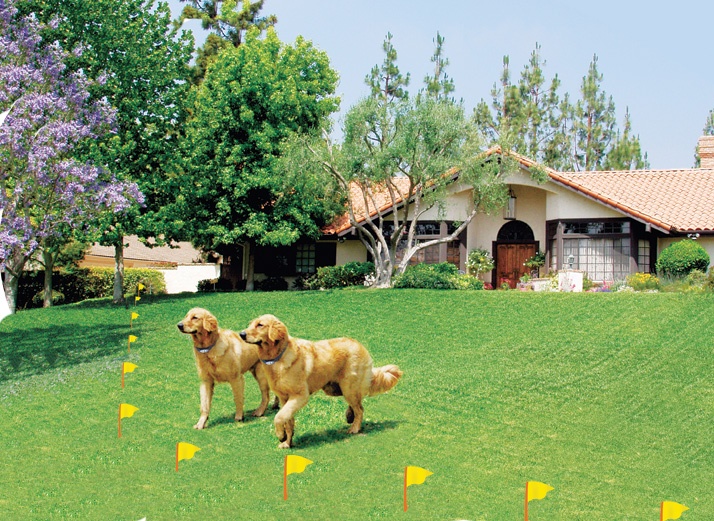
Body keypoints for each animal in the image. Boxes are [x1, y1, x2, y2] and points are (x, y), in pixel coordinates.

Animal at [241, 312, 400, 446]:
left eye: (260, 325)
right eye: (250, 324)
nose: (241, 334)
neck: (278, 357)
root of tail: (359, 344)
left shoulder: (299, 396)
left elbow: (279, 417)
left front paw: (280, 435)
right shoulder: (284, 398)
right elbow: (287, 420)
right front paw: (287, 442)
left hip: (347, 387)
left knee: (359, 408)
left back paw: (354, 428)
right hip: (335, 388)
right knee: (358, 403)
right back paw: (349, 416)